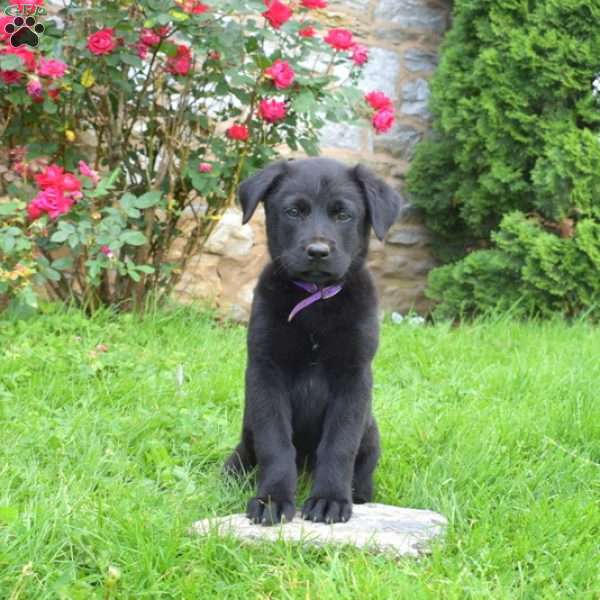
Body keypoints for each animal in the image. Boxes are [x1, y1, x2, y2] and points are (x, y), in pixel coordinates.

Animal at [225, 157, 404, 524]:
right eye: (293, 211)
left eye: (343, 215)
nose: (318, 251)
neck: (316, 302)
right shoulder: (265, 371)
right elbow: (276, 443)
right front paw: (272, 499)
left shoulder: (354, 376)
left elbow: (339, 444)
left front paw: (329, 499)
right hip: (244, 437)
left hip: (371, 433)